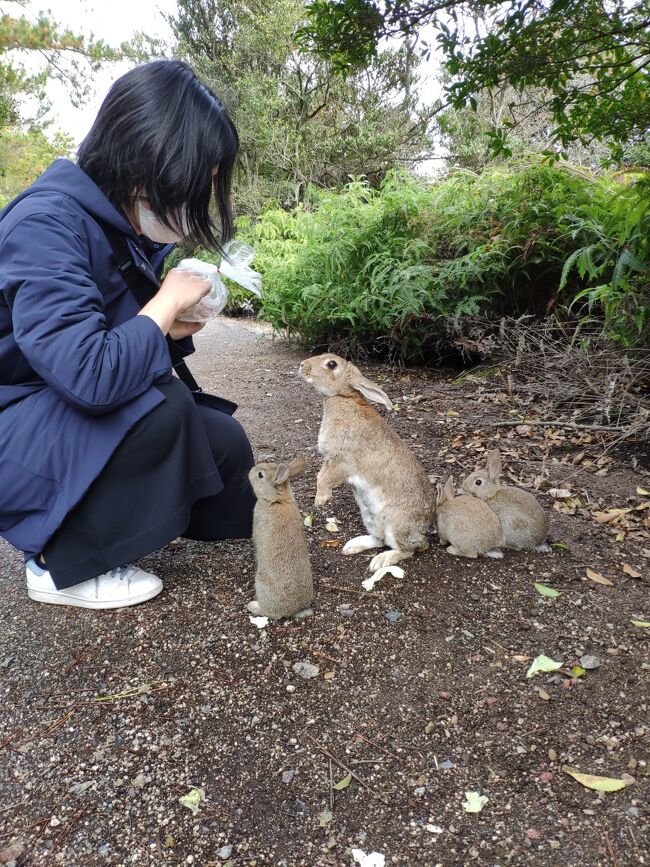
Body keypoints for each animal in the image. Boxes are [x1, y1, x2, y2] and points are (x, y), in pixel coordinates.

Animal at [246, 458, 314, 620]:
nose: (250, 471)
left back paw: (252, 606)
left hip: (261, 583)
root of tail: (293, 610)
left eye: (260, 475)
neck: (276, 500)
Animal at [300, 350, 436, 572]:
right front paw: (320, 499)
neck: (342, 396)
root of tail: (426, 528)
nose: (302, 365)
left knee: (407, 549)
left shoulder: (342, 461)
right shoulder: (329, 460)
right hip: (370, 516)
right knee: (380, 538)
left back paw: (380, 562)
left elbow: (326, 479)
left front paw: (321, 500)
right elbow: (320, 475)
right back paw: (352, 546)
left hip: (393, 520)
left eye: (331, 364)